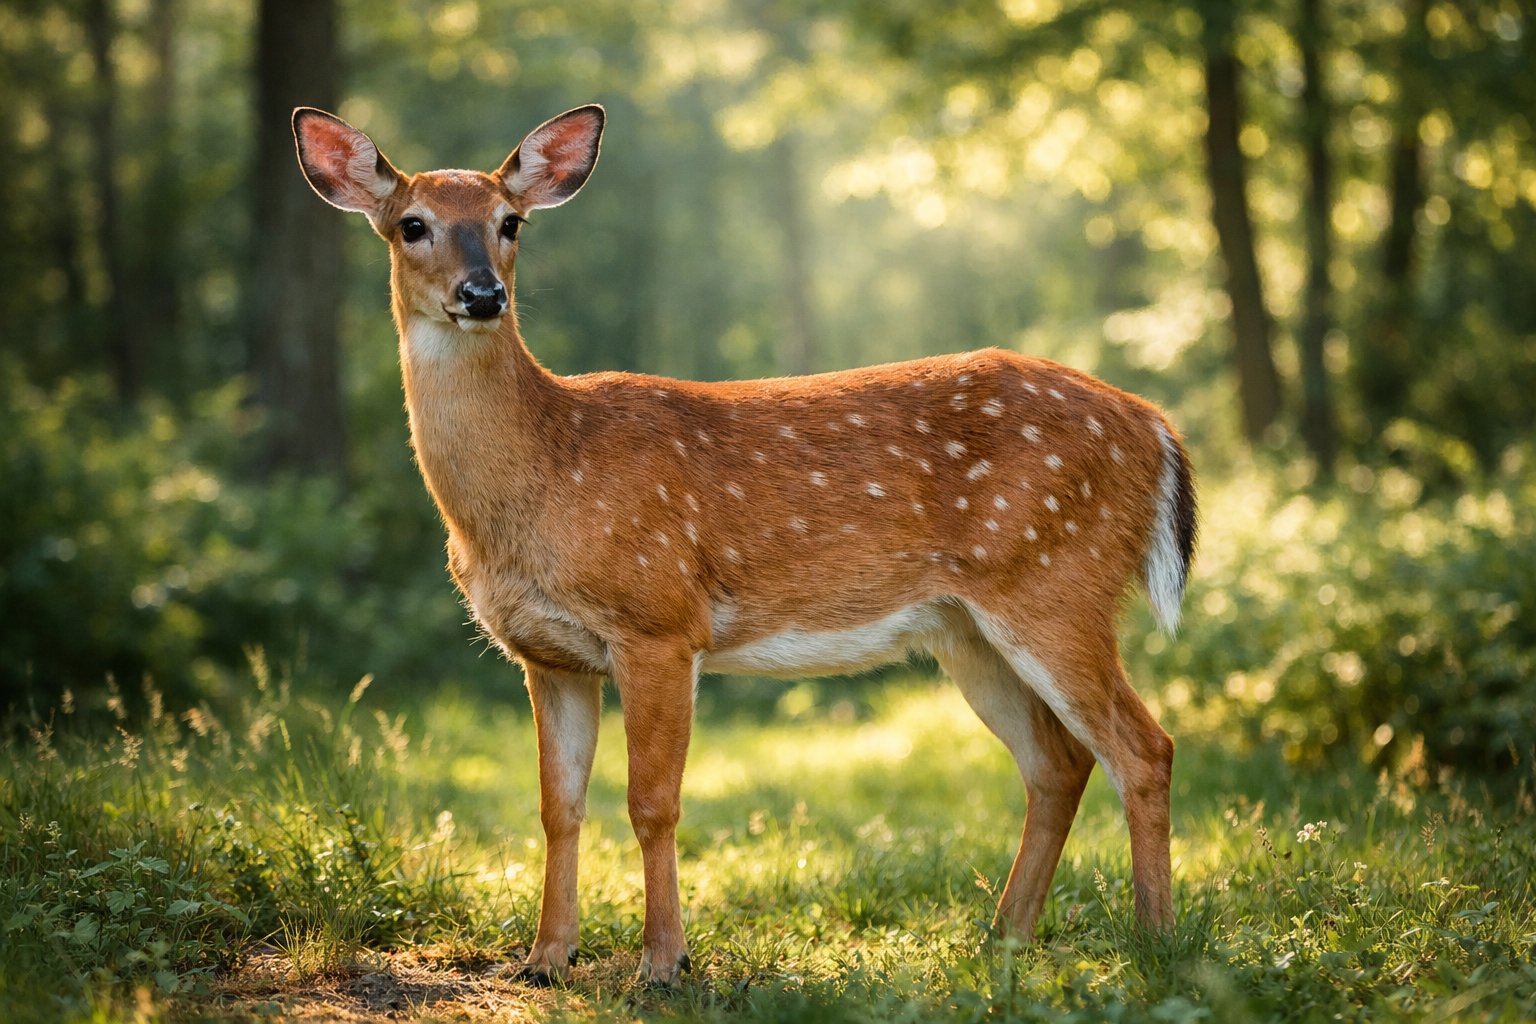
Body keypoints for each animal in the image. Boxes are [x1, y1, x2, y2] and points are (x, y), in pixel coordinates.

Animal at [292, 102, 1197, 986]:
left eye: (510, 222)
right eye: (411, 224)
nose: (482, 295)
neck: (544, 475)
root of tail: (1156, 427)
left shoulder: (659, 619)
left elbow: (651, 802)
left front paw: (663, 963)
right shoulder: (548, 655)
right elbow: (558, 806)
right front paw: (547, 959)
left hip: (1057, 581)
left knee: (1144, 747)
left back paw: (1155, 944)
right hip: (967, 629)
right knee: (1057, 762)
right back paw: (1002, 941)